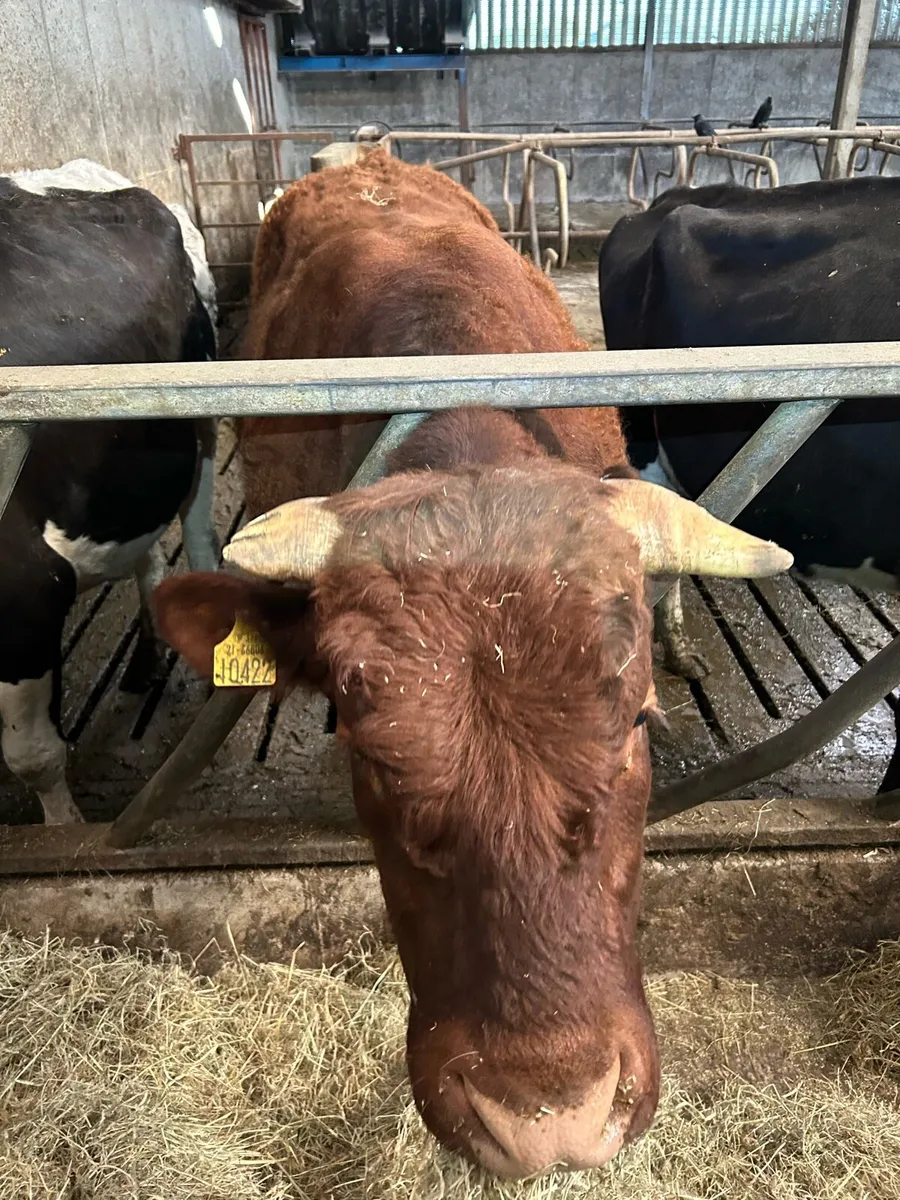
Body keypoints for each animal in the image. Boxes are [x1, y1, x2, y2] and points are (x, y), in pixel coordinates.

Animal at [0, 159, 220, 824]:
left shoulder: (25, 592)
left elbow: (33, 756)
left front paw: (64, 831)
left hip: (199, 418)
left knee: (198, 535)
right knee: (147, 555)